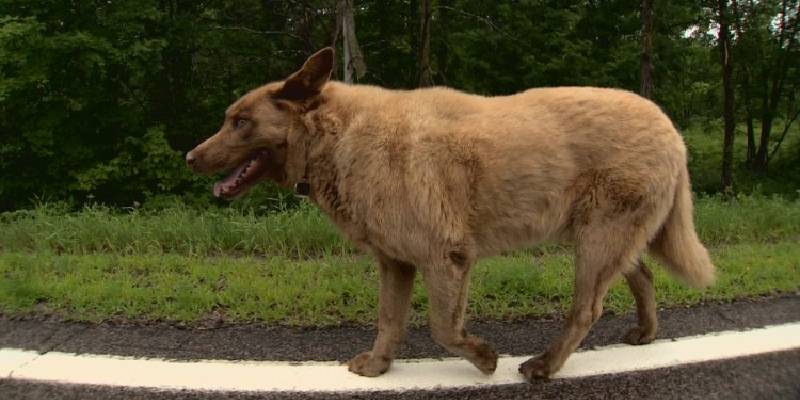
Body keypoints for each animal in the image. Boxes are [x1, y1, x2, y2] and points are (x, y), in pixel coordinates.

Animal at [189, 47, 720, 382]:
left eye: (240, 121)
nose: (192, 157)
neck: (334, 141)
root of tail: (674, 131)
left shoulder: (444, 251)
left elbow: (443, 327)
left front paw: (485, 359)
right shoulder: (394, 259)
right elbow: (389, 319)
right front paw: (377, 365)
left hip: (599, 233)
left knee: (587, 307)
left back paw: (544, 365)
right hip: (607, 232)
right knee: (643, 275)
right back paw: (644, 334)